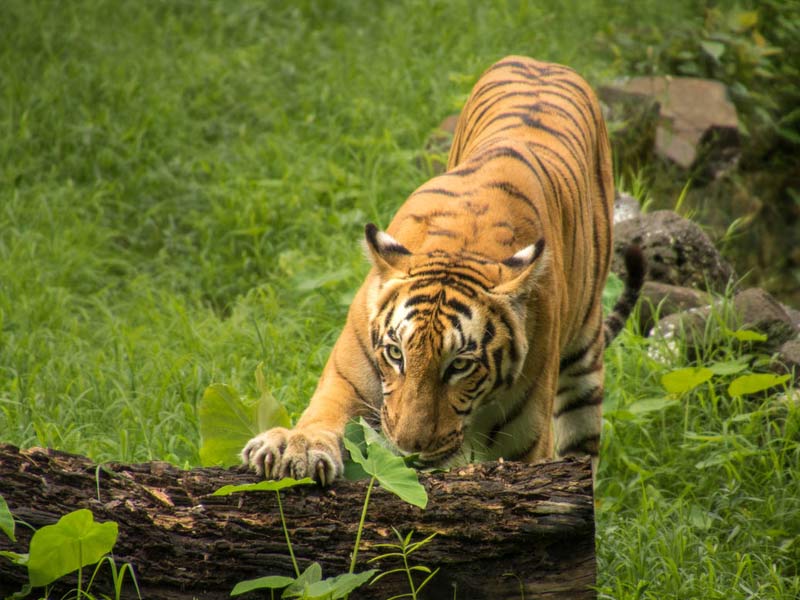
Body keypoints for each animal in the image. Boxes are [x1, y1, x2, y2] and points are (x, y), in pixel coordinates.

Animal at [242, 56, 644, 486]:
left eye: (460, 365)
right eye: (396, 354)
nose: (409, 448)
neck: (463, 246)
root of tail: (541, 62)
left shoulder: (526, 439)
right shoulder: (349, 377)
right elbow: (323, 414)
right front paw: (294, 448)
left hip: (585, 363)